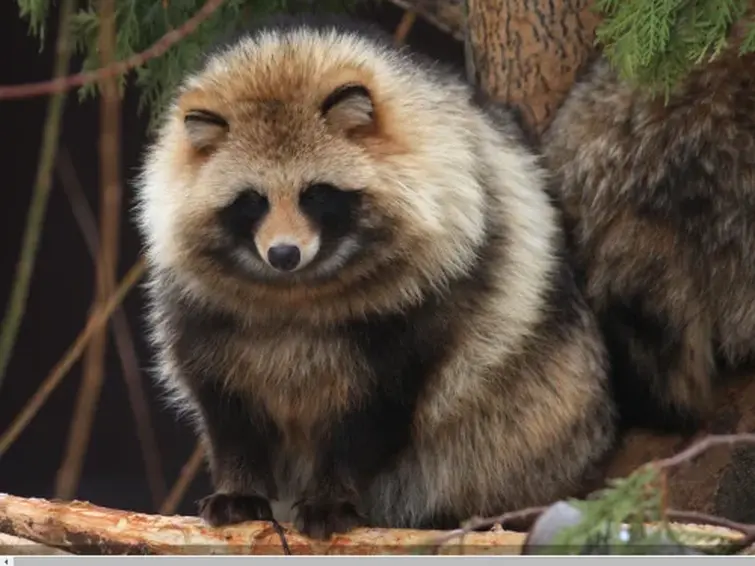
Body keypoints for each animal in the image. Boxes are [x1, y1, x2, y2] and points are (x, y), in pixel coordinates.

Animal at [134, 15, 615, 539]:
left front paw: (332, 494)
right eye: (253, 201)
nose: (284, 254)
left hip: (537, 412)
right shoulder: (200, 316)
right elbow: (228, 410)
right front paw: (240, 487)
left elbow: (371, 417)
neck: (297, 292)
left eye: (315, 194)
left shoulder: (429, 304)